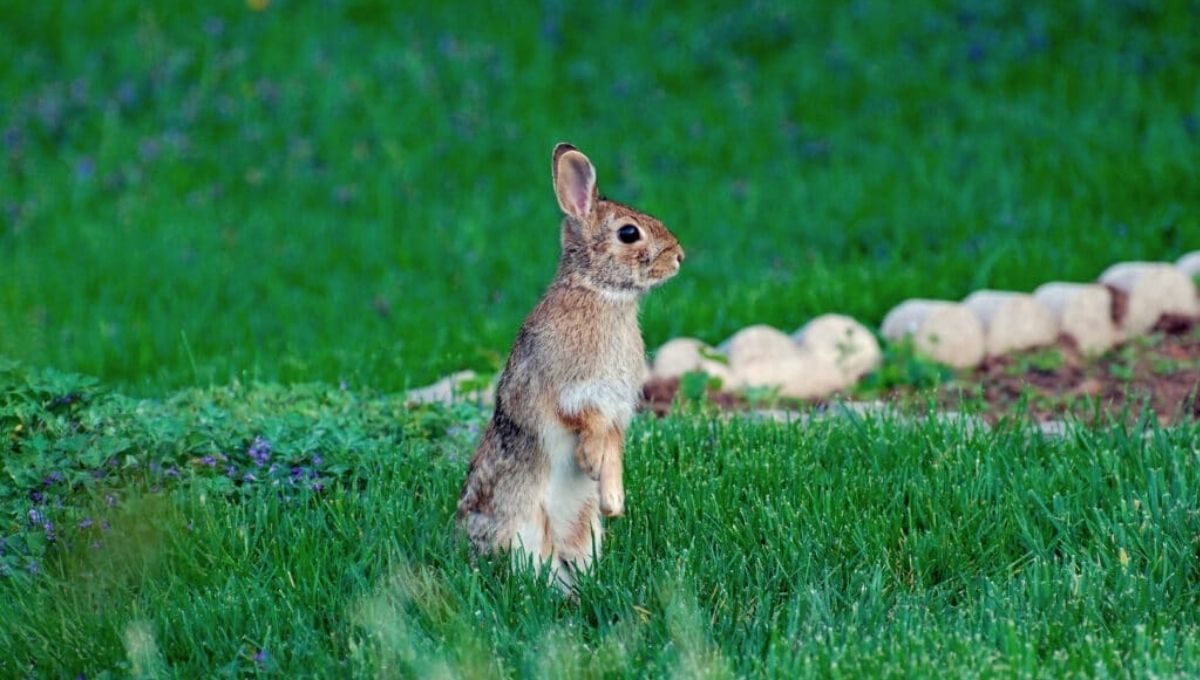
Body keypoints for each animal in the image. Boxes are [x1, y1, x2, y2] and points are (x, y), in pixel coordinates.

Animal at [457, 143, 685, 589]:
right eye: (629, 233)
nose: (680, 257)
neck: (598, 292)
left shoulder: (616, 409)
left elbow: (614, 447)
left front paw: (613, 500)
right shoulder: (570, 392)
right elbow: (586, 425)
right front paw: (590, 462)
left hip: (582, 530)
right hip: (519, 529)